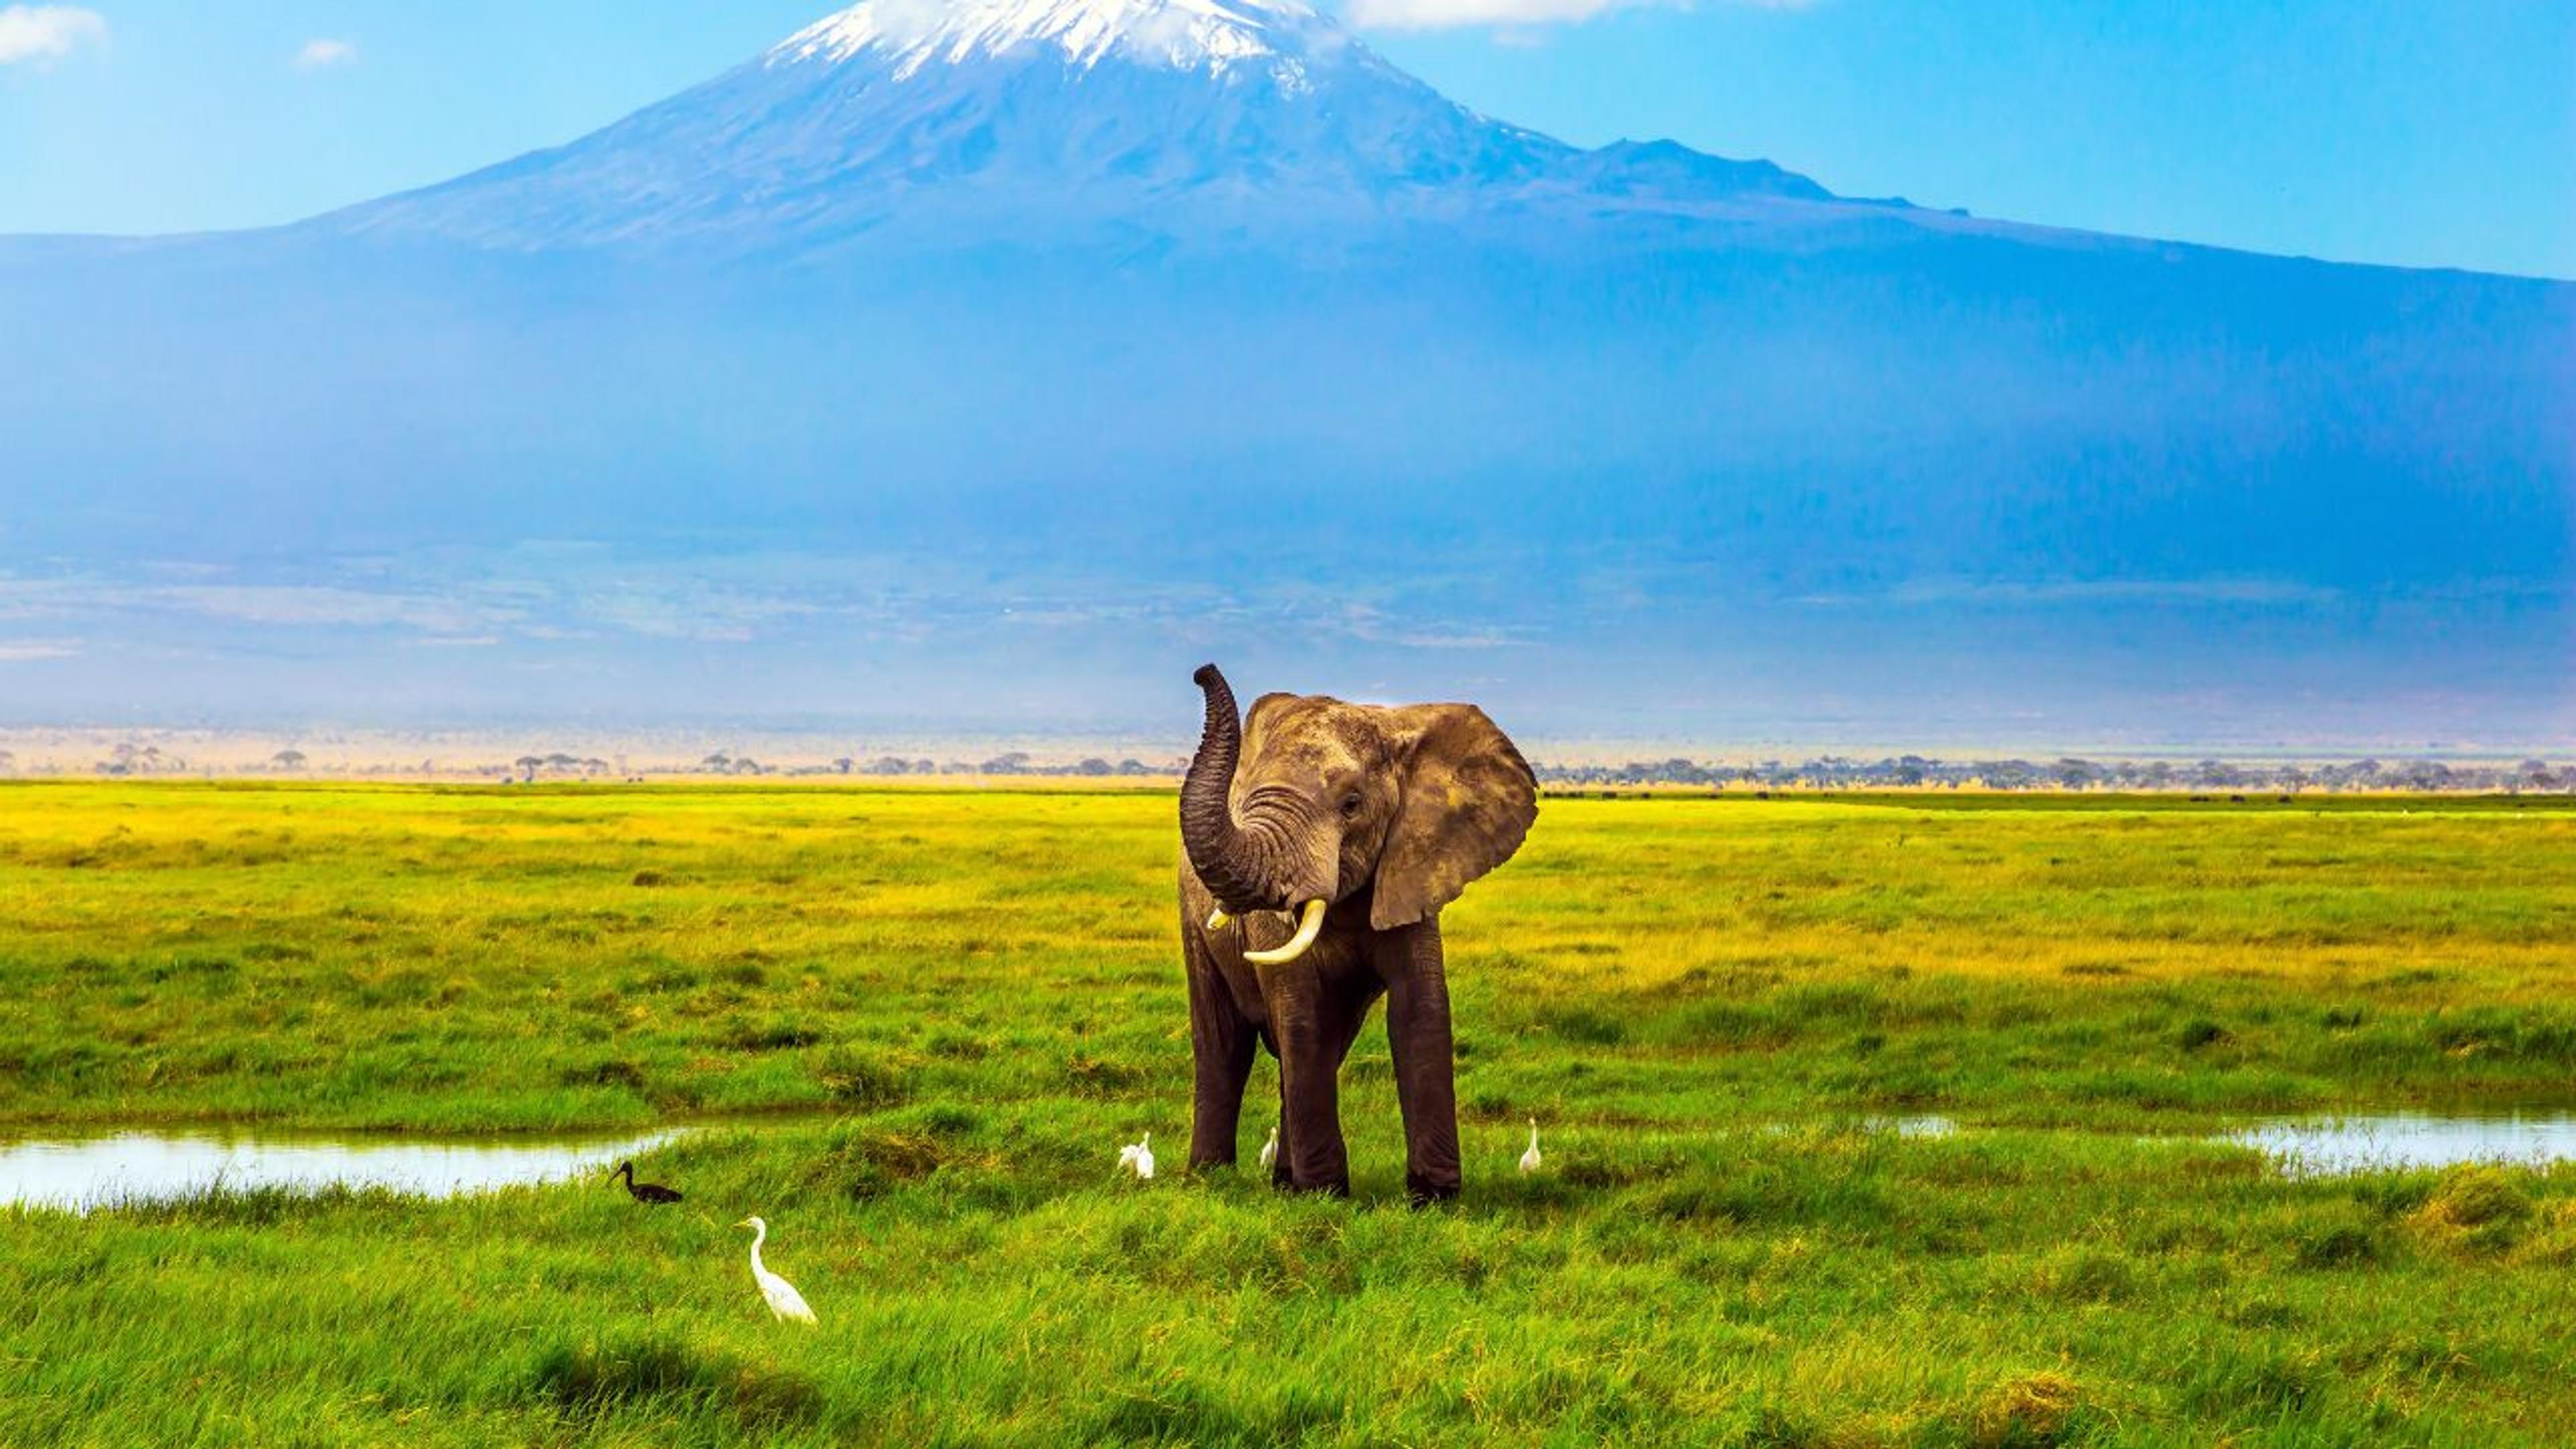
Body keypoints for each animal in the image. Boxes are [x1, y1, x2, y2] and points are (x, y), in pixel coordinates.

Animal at [1175, 663, 1538, 1202]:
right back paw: (1211, 1177)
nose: (1203, 671)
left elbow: (1421, 1009)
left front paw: (1433, 1198)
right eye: (1244, 801)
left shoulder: (1414, 862)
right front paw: (1326, 1193)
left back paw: (1283, 1182)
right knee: (1225, 1043)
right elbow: (1299, 1013)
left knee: (1326, 1040)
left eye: (1351, 804)